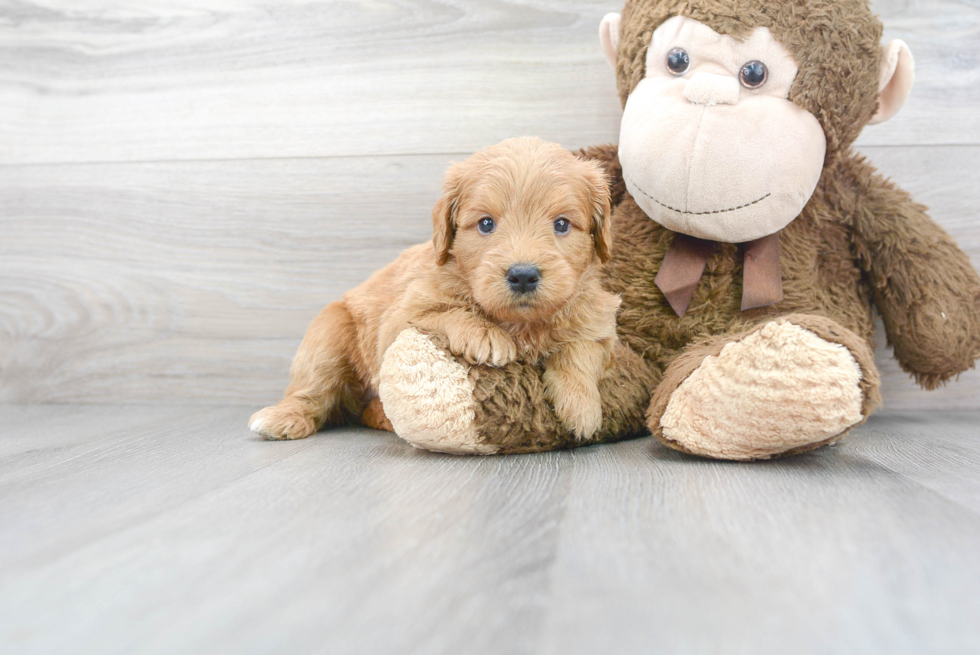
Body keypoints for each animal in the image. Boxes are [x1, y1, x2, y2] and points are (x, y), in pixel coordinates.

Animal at [253, 138, 620, 446]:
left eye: (562, 224)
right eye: (486, 224)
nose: (523, 276)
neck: (521, 323)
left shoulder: (599, 323)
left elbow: (580, 351)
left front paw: (582, 407)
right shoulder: (397, 319)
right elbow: (444, 311)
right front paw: (484, 334)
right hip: (329, 334)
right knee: (312, 390)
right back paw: (282, 418)